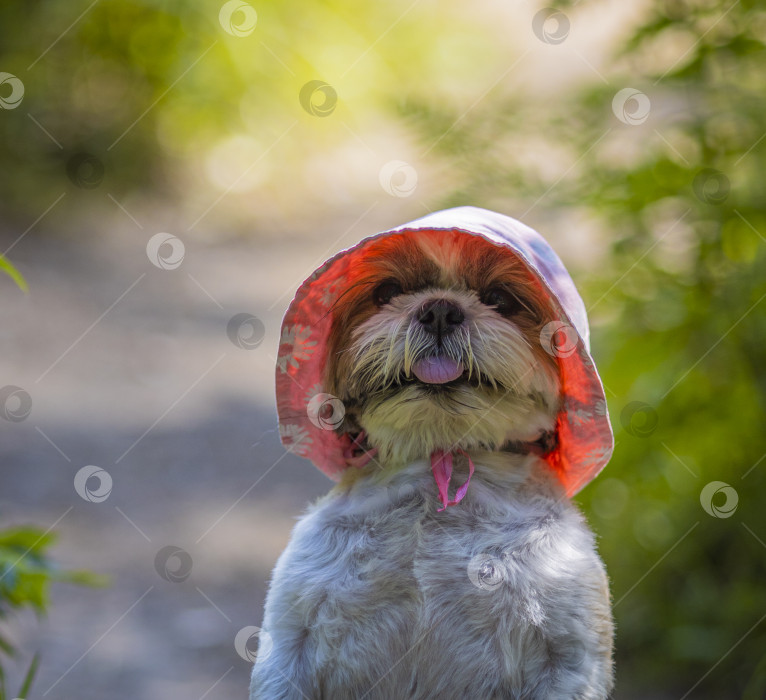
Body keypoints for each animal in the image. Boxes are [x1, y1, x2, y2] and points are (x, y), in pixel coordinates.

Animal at [252, 208, 616, 700]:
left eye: (499, 298)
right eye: (386, 292)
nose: (440, 308)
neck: (441, 457)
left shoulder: (569, 654)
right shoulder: (290, 642)